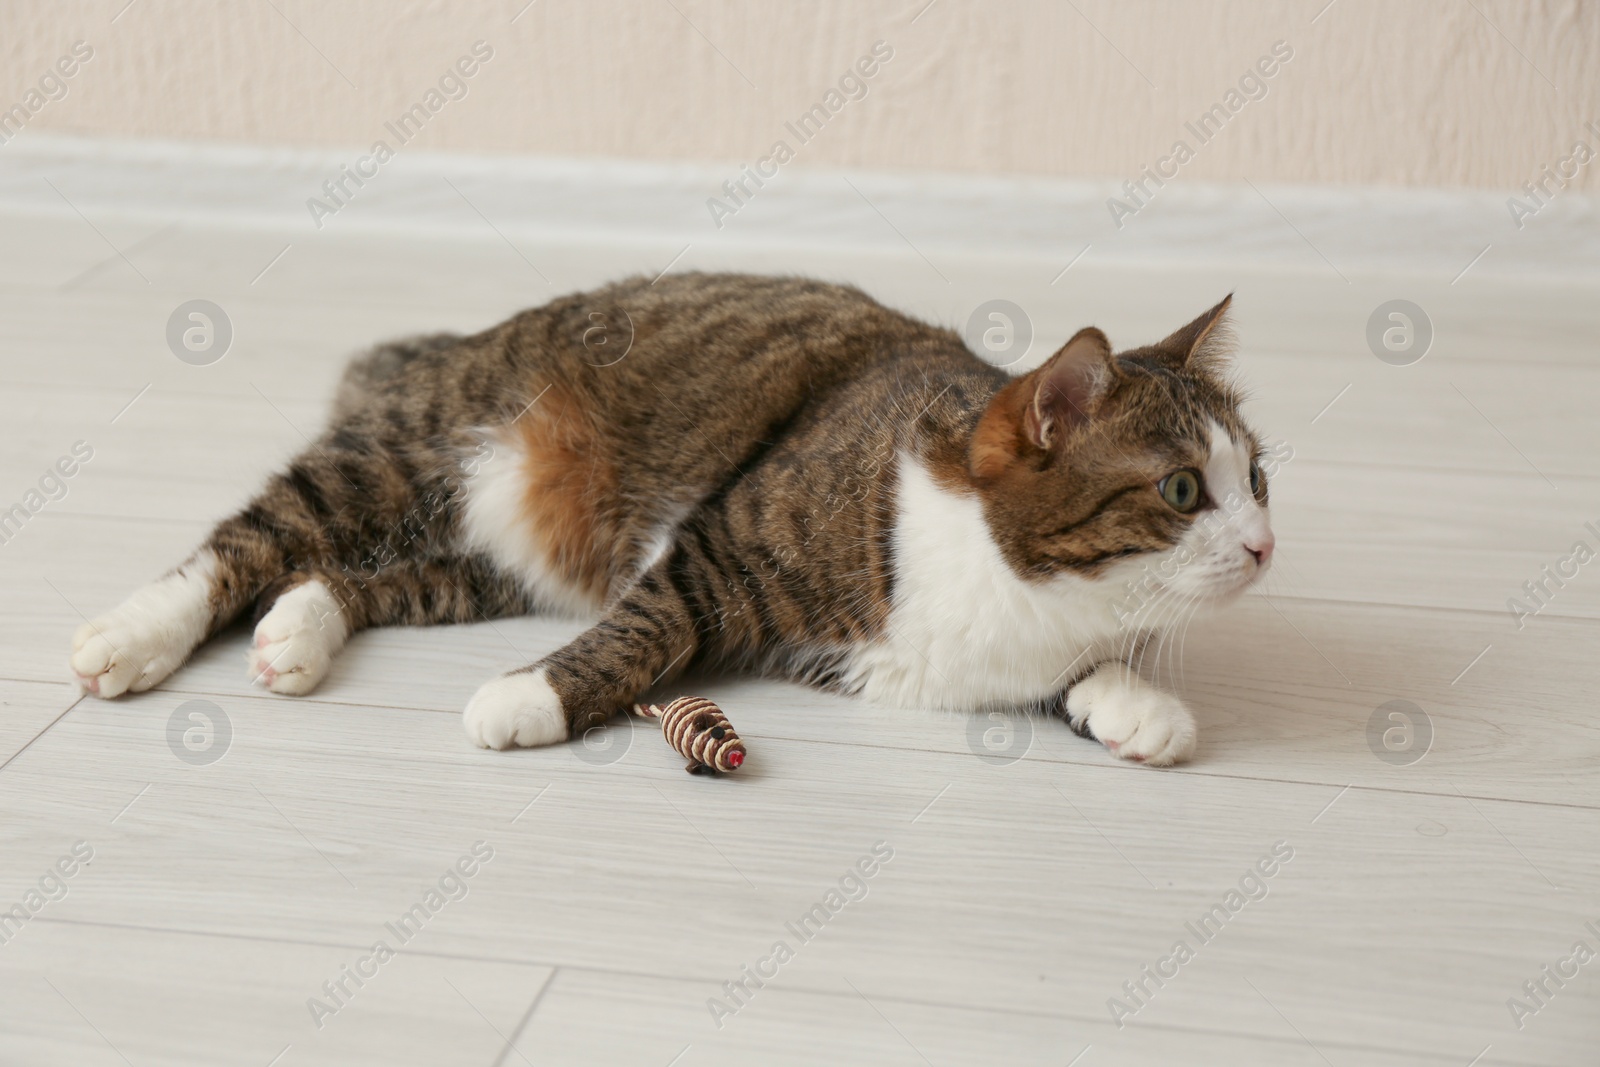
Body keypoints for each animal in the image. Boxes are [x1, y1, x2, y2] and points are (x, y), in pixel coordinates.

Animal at [72, 271, 1273, 764]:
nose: (1266, 544)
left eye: (1257, 476)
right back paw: (133, 634)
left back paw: (297, 633)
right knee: (253, 540)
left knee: (361, 576)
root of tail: (471, 335)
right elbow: (647, 628)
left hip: (500, 563)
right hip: (414, 450)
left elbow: (1080, 670)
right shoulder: (718, 546)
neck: (1015, 583)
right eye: (1181, 489)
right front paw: (529, 698)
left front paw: (1136, 706)